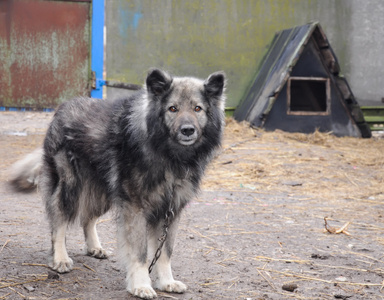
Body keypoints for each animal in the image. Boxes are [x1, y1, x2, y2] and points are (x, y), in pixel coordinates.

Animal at [9, 68, 225, 298]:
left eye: (197, 108)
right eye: (173, 109)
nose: (187, 130)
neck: (168, 154)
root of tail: (64, 107)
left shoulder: (171, 212)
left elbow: (165, 252)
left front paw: (167, 281)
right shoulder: (136, 209)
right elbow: (140, 253)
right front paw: (141, 285)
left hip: (103, 194)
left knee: (88, 218)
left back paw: (94, 247)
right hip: (70, 188)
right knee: (58, 220)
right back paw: (60, 258)